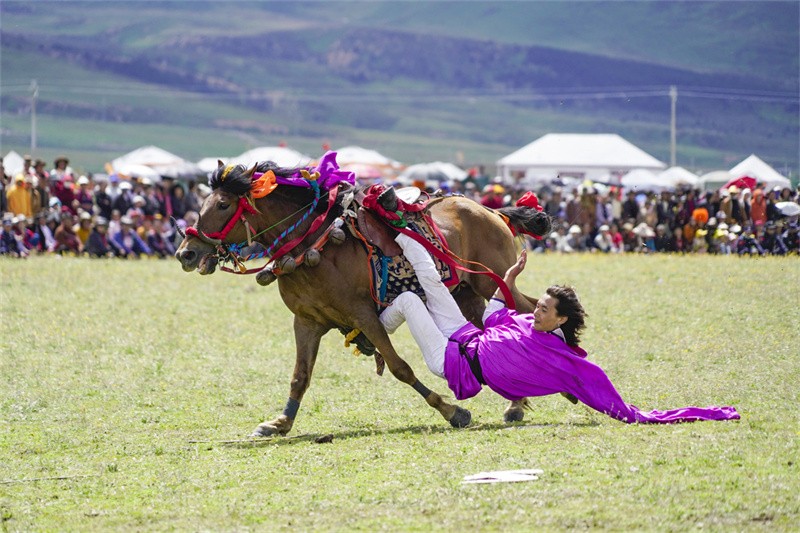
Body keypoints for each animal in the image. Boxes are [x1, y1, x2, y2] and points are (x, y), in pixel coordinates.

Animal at [175, 159, 552, 436]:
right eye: (203, 203)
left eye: (223, 204)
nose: (186, 253)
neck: (313, 244)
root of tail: (492, 211)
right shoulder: (307, 322)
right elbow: (300, 376)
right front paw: (280, 423)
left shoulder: (364, 316)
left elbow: (400, 368)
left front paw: (452, 410)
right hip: (467, 294)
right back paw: (517, 401)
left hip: (491, 282)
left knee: (527, 310)